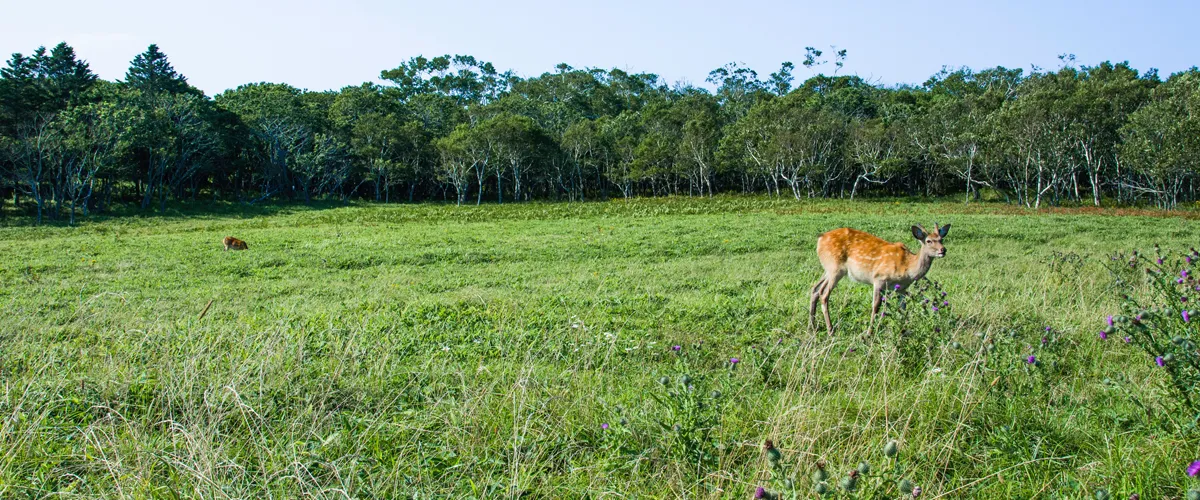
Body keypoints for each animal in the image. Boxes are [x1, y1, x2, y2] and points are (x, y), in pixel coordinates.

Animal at [811, 223, 950, 335]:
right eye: (929, 241)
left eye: (941, 239)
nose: (943, 250)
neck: (907, 268)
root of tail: (820, 238)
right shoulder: (879, 278)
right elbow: (876, 305)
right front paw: (869, 333)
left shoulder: (902, 288)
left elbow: (903, 307)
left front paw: (904, 331)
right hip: (835, 268)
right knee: (823, 293)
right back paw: (830, 330)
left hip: (828, 269)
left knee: (815, 288)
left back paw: (812, 326)